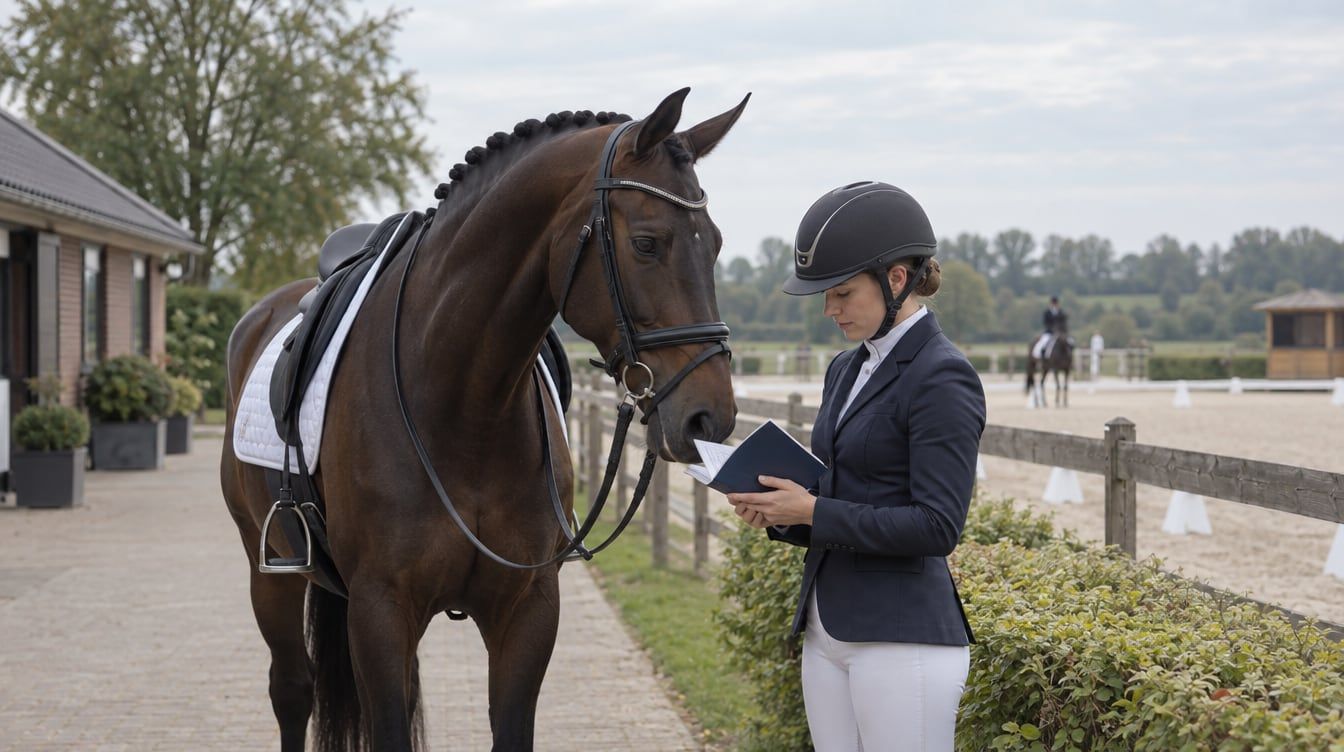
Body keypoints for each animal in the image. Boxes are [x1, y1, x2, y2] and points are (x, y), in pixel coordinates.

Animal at [219, 87, 746, 751]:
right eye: (647, 243)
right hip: (269, 569)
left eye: (717, 244)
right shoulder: (380, 609)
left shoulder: (527, 609)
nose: (710, 417)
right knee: (292, 690)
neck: (464, 410)